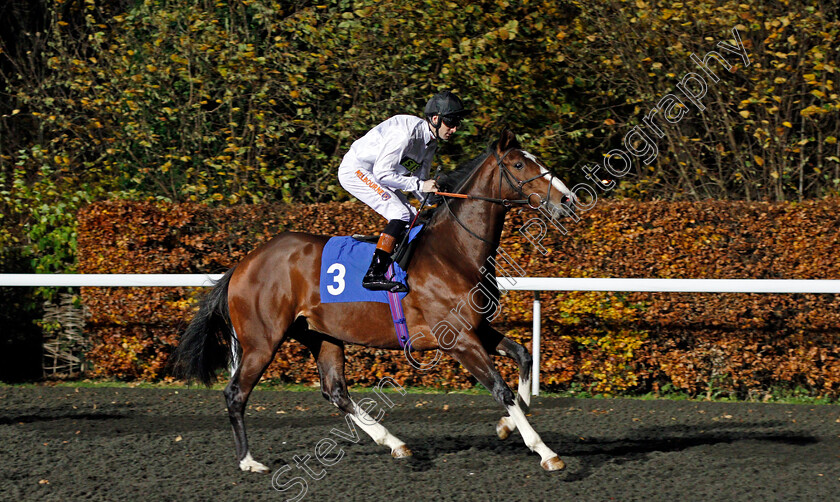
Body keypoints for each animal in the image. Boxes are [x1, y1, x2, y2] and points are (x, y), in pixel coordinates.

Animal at [171, 129, 576, 474]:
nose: (568, 199)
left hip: (321, 335)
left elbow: (523, 356)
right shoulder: (458, 340)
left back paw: (394, 443)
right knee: (236, 393)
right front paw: (545, 451)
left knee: (335, 391)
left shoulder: (476, 329)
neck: (454, 252)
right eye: (520, 164)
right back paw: (248, 461)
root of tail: (244, 263)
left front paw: (508, 426)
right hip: (262, 341)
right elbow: (500, 388)